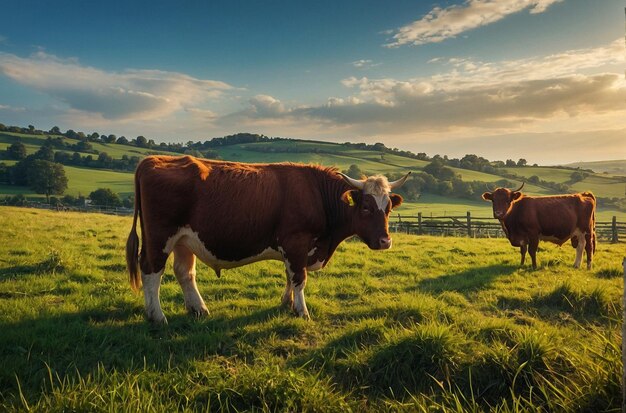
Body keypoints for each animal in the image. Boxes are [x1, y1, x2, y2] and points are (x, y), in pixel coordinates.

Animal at [127, 154, 410, 322]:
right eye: (366, 207)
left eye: (388, 208)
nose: (385, 242)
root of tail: (153, 159)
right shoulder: (296, 242)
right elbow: (299, 278)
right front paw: (302, 311)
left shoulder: (293, 249)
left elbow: (289, 276)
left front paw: (287, 303)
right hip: (160, 237)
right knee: (151, 270)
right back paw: (157, 316)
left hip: (183, 240)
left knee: (184, 272)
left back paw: (198, 309)